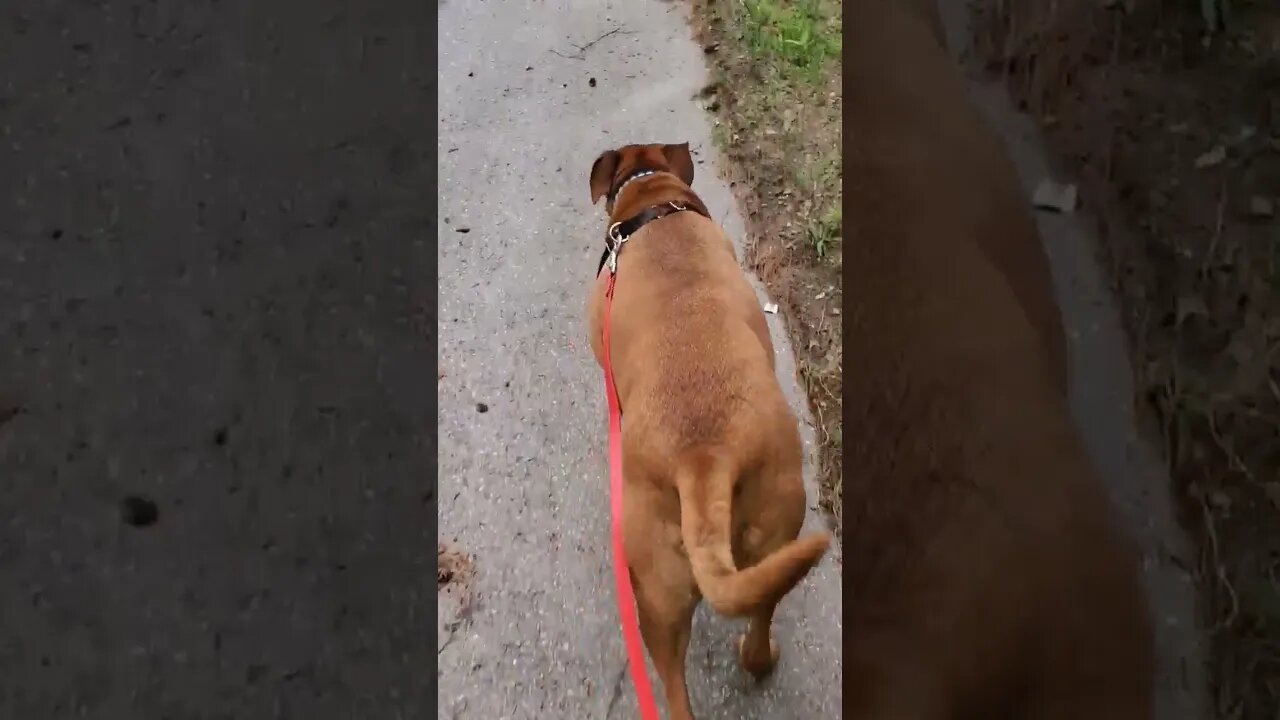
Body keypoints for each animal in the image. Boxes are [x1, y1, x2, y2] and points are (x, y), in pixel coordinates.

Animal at [586, 141, 834, 717]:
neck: (652, 201)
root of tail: (703, 459)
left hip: (655, 594)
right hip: (768, 538)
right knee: (761, 612)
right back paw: (760, 658)